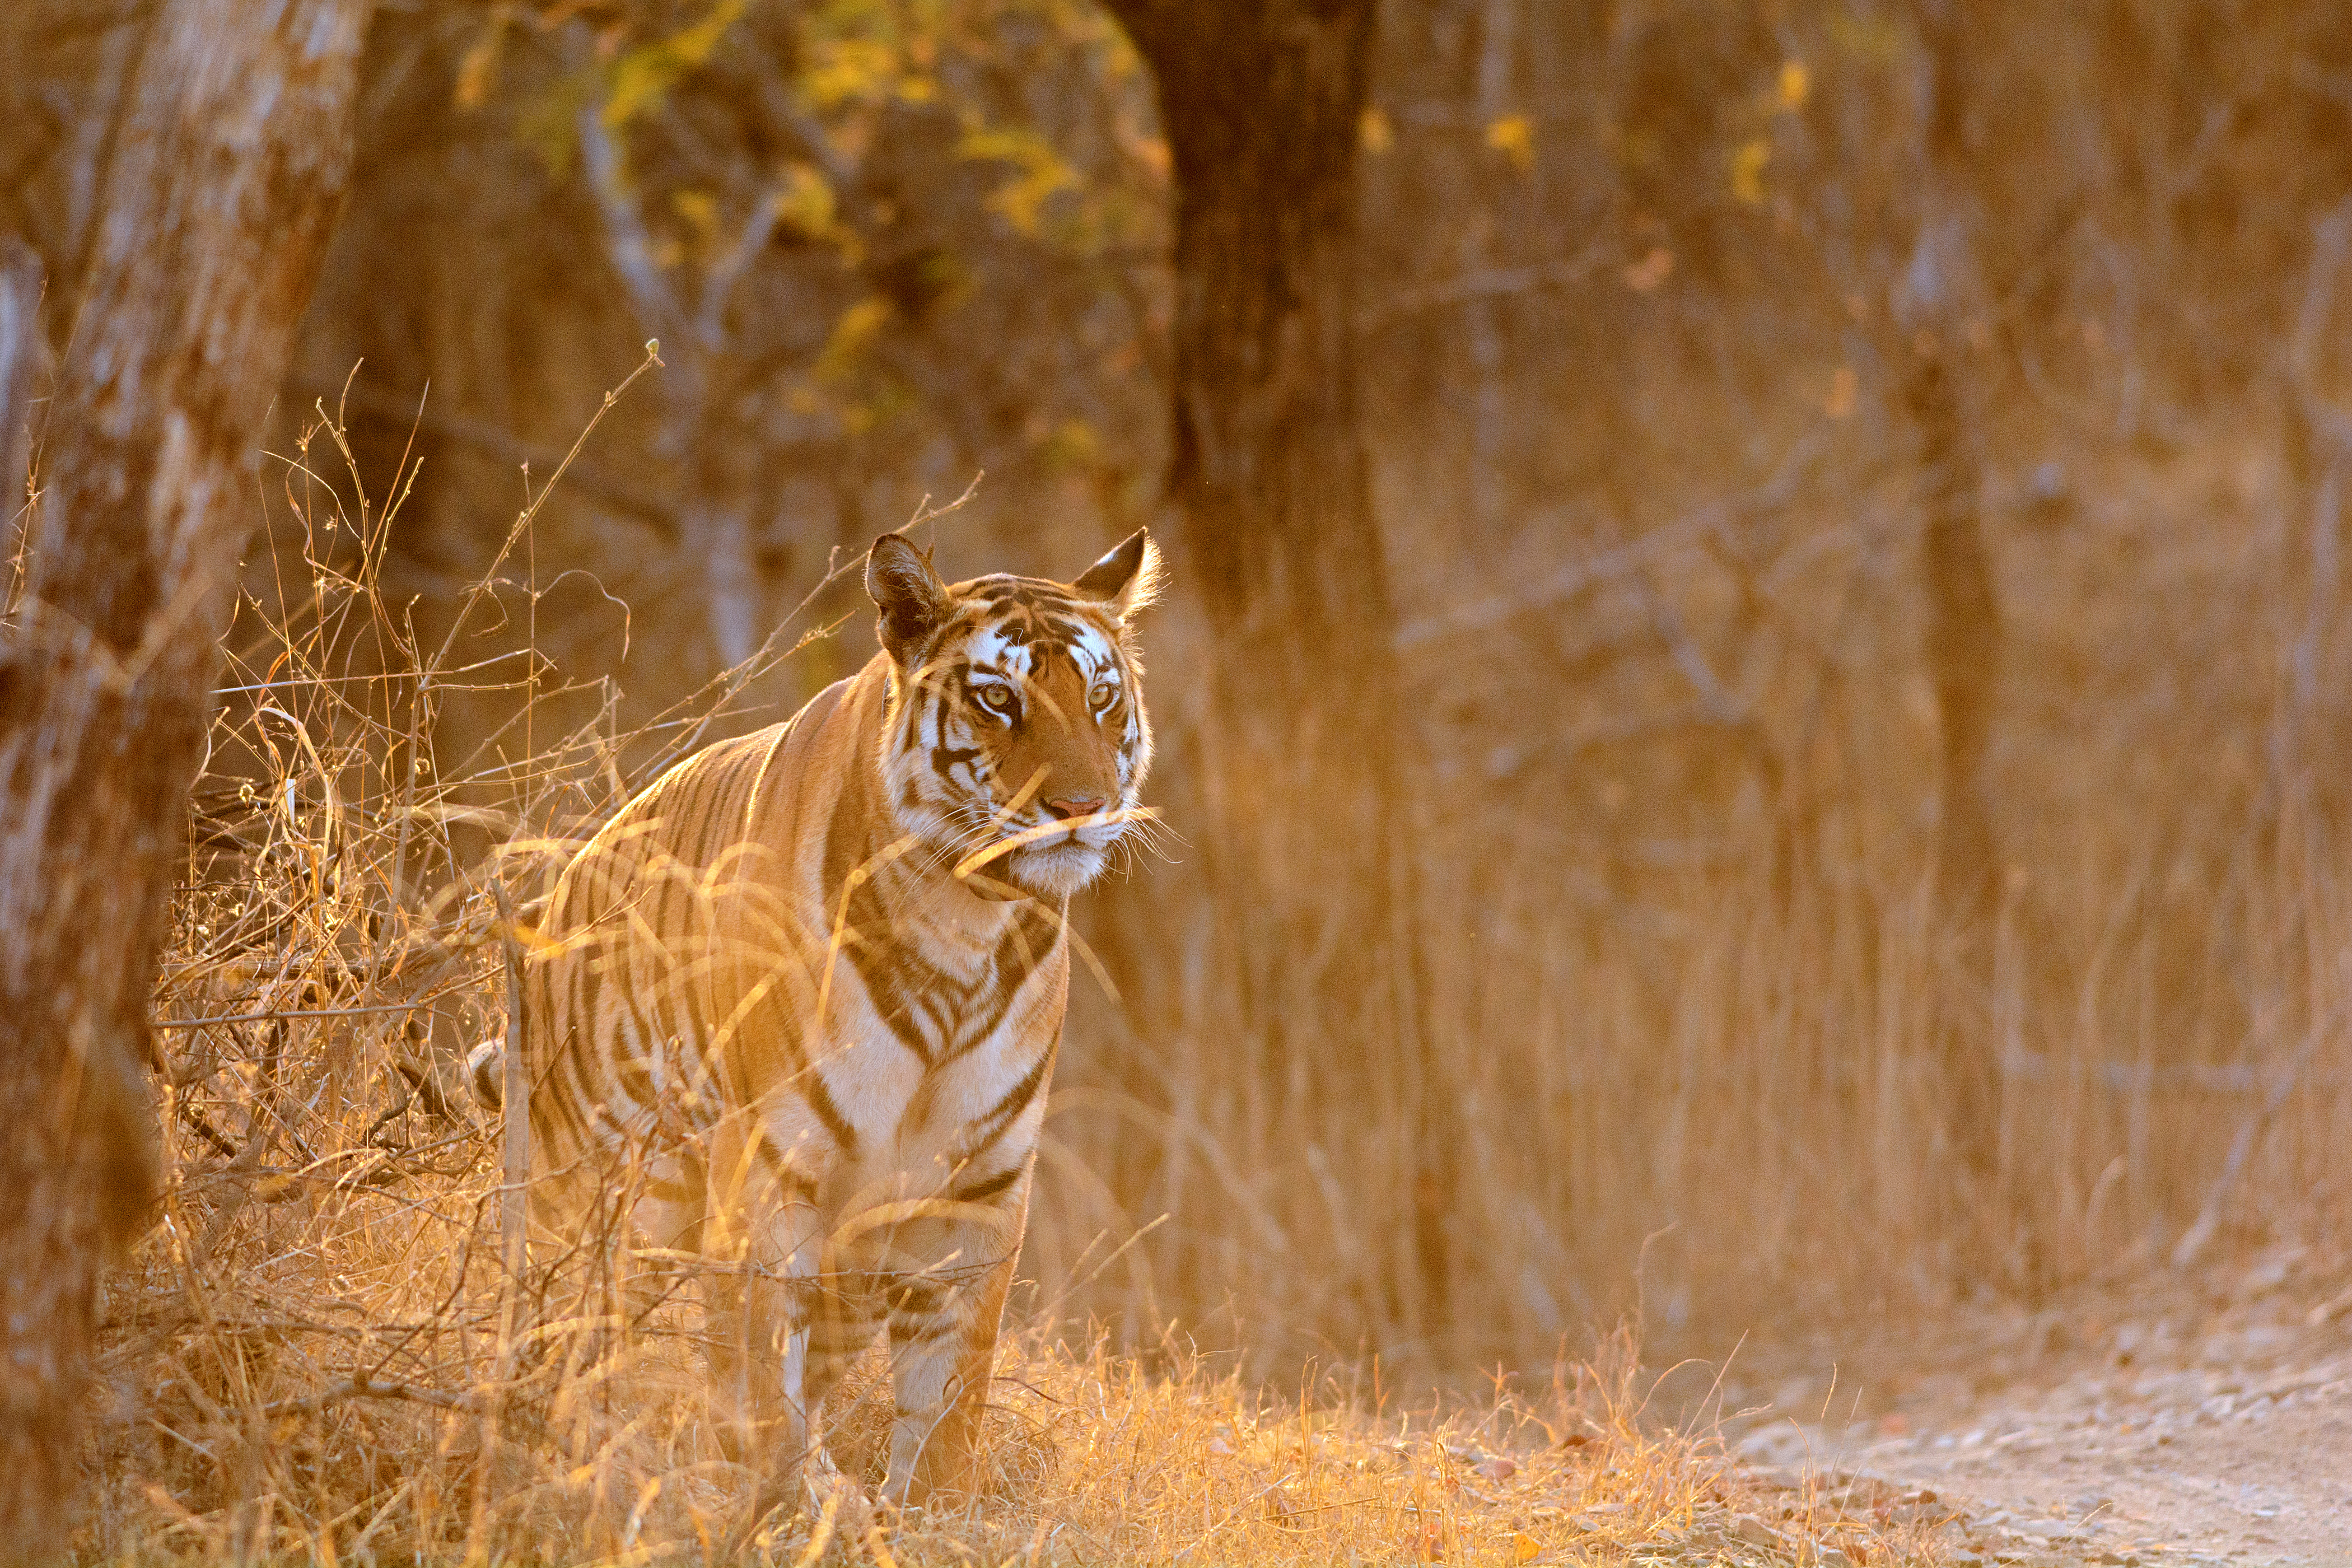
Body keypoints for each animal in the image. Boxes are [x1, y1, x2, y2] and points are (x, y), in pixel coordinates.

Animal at [470, 528, 1160, 1512]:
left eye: (1102, 699)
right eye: (998, 699)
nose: (1081, 809)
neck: (967, 922)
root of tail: (554, 897)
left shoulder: (979, 1189)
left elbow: (953, 1389)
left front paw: (935, 1511)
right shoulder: (772, 1165)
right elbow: (766, 1373)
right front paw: (777, 1495)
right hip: (597, 1186)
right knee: (579, 1320)